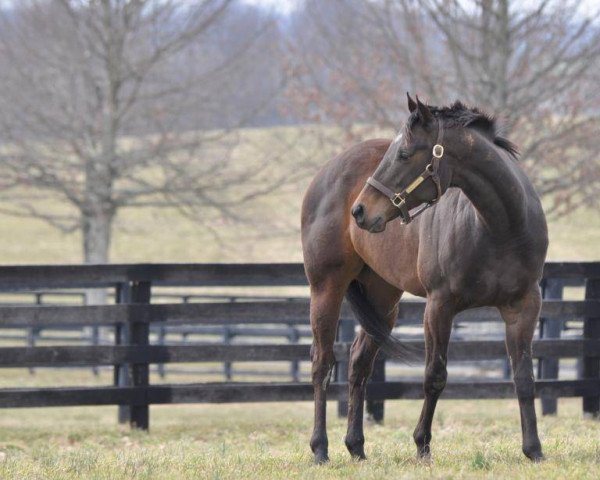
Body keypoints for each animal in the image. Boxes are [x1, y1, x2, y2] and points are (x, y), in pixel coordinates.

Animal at [300, 94, 548, 464]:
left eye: (404, 153)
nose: (359, 211)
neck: (500, 228)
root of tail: (326, 172)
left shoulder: (523, 307)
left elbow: (524, 378)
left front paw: (534, 450)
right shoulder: (439, 305)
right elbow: (435, 376)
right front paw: (422, 446)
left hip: (382, 299)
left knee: (359, 363)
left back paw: (356, 448)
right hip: (326, 288)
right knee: (322, 363)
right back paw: (320, 449)